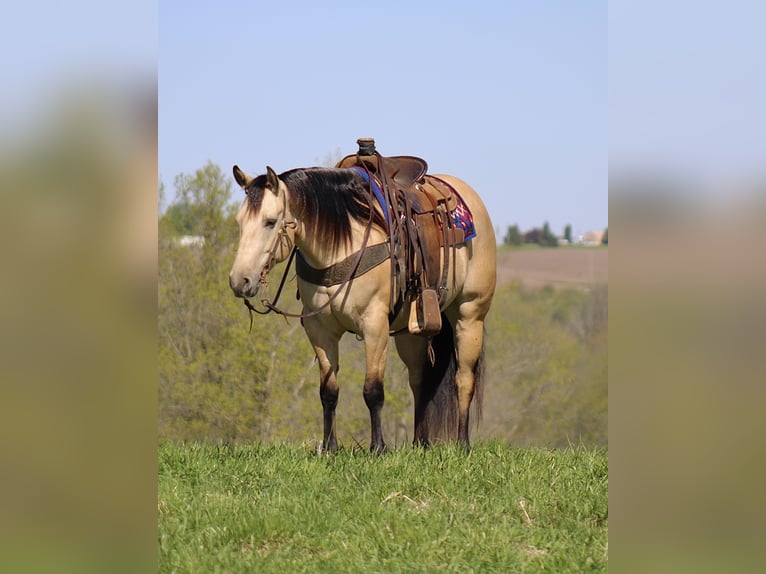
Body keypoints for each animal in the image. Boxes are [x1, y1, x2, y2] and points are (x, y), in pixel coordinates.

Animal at [228, 160, 496, 452]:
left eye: (270, 222)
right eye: (239, 222)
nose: (239, 280)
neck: (340, 248)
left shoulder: (374, 326)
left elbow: (373, 390)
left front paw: (378, 447)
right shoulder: (319, 330)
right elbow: (329, 392)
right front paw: (329, 447)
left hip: (469, 316)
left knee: (464, 380)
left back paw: (463, 444)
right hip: (411, 333)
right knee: (419, 382)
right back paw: (418, 444)